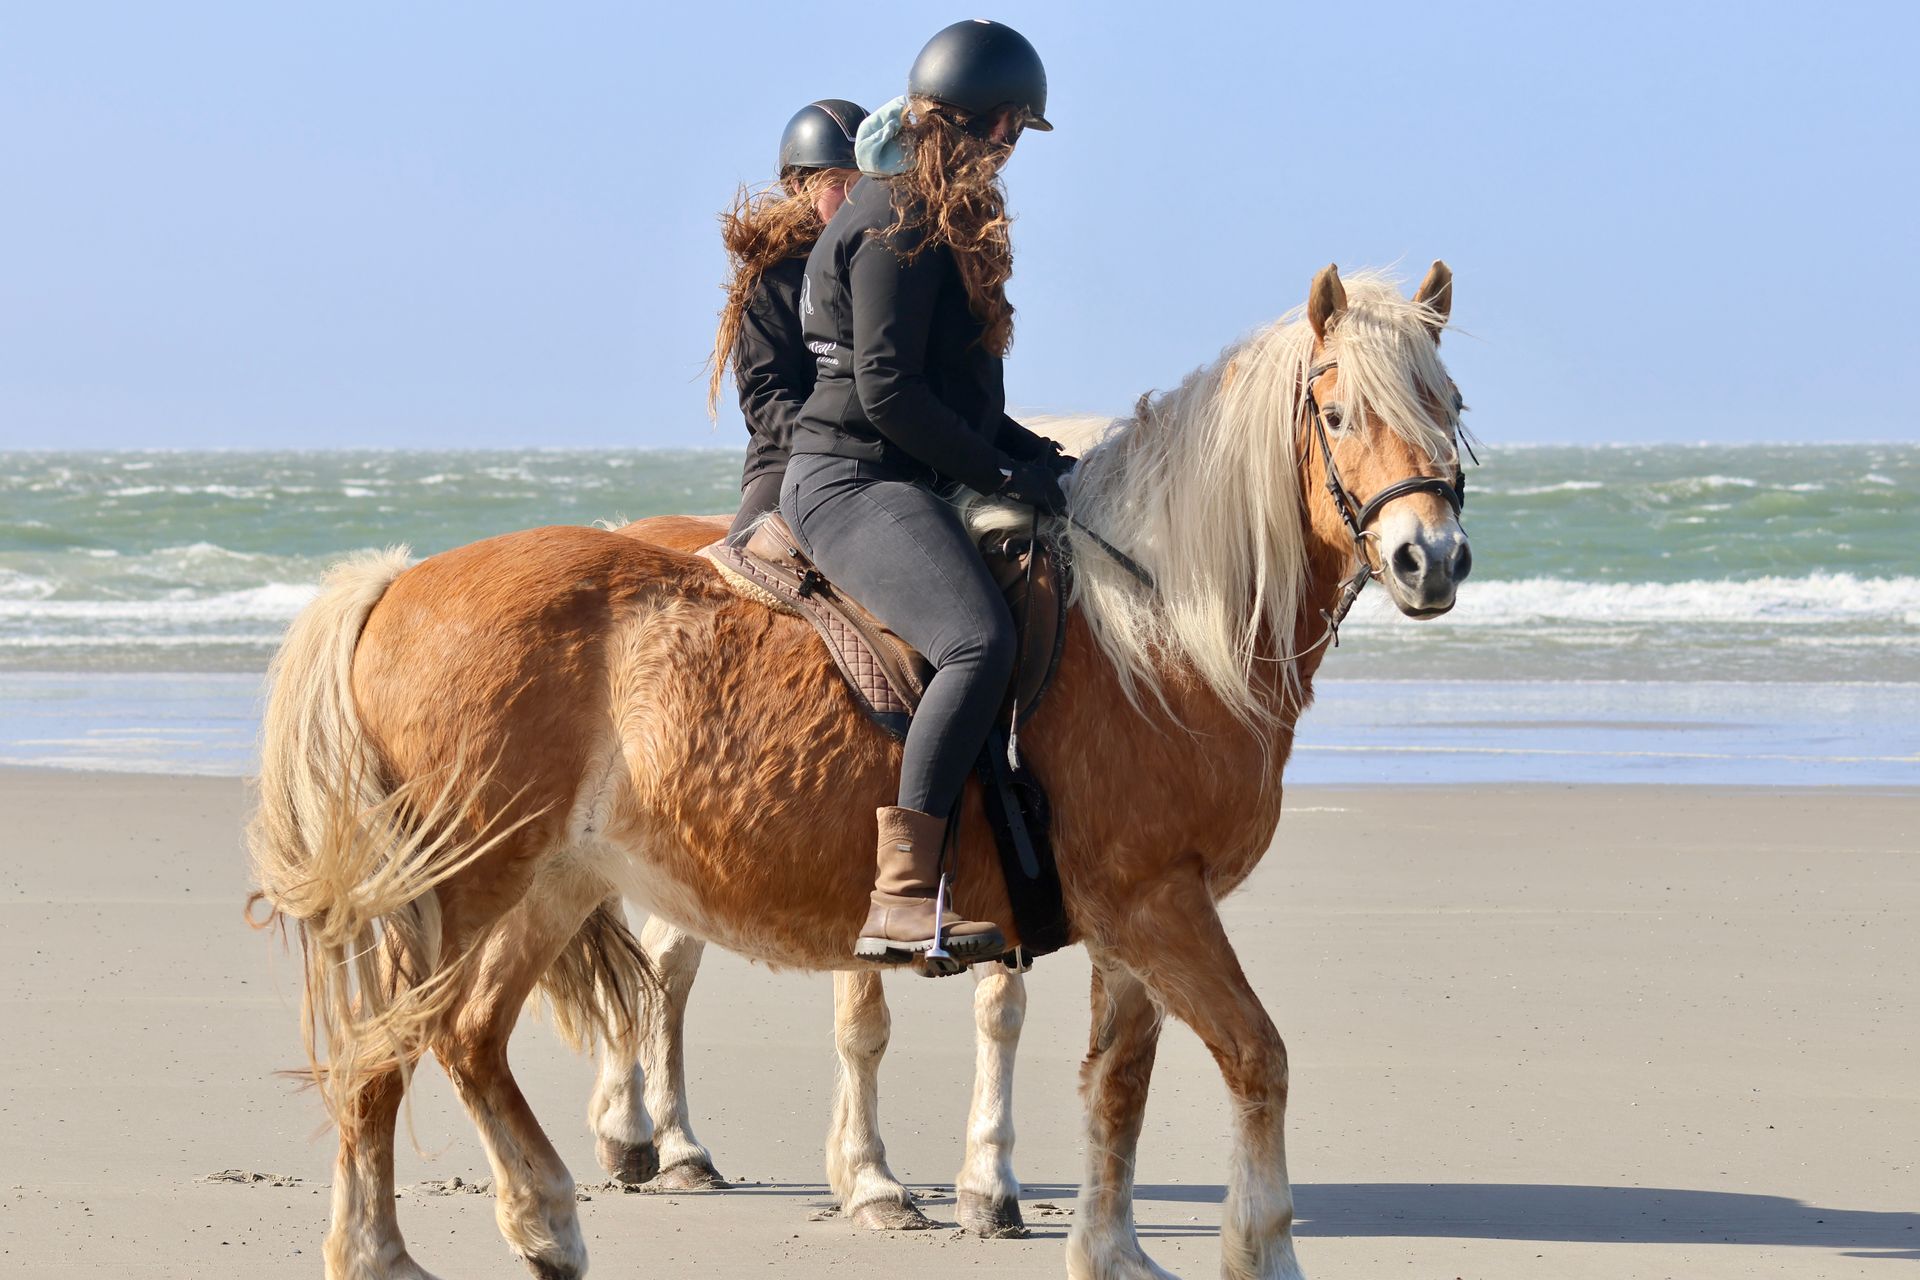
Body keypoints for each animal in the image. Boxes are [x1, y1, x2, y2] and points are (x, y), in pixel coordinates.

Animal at [248, 261, 1472, 1280]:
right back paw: (390, 1253)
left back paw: (547, 1218)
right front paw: (1264, 1248)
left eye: (1449, 405)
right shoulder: (1159, 906)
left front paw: (1111, 1253)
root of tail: (397, 583)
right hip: (462, 882)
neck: (1160, 631)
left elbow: (1116, 1086)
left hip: (547, 882)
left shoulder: (1138, 918)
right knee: (381, 1057)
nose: (1434, 559)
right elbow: (1258, 1057)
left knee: (464, 1034)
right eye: (1338, 410)